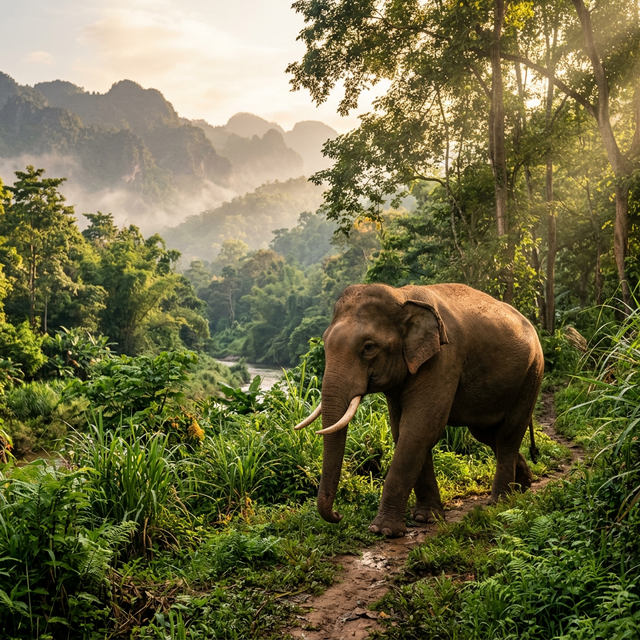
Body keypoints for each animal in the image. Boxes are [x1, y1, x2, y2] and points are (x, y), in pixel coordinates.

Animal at [294, 283, 544, 538]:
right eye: (324, 343)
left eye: (369, 347)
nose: (338, 515)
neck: (401, 295)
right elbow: (404, 431)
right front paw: (427, 517)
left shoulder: (443, 359)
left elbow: (419, 429)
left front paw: (383, 531)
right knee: (486, 434)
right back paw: (523, 485)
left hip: (532, 373)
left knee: (508, 434)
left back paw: (500, 502)